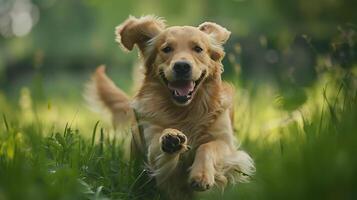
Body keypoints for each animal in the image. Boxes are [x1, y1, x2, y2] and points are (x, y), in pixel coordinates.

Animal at [85, 15, 253, 198]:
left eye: (198, 49)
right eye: (166, 49)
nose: (181, 66)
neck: (184, 111)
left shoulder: (225, 142)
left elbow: (207, 146)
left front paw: (201, 176)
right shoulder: (152, 143)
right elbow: (160, 148)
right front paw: (171, 138)